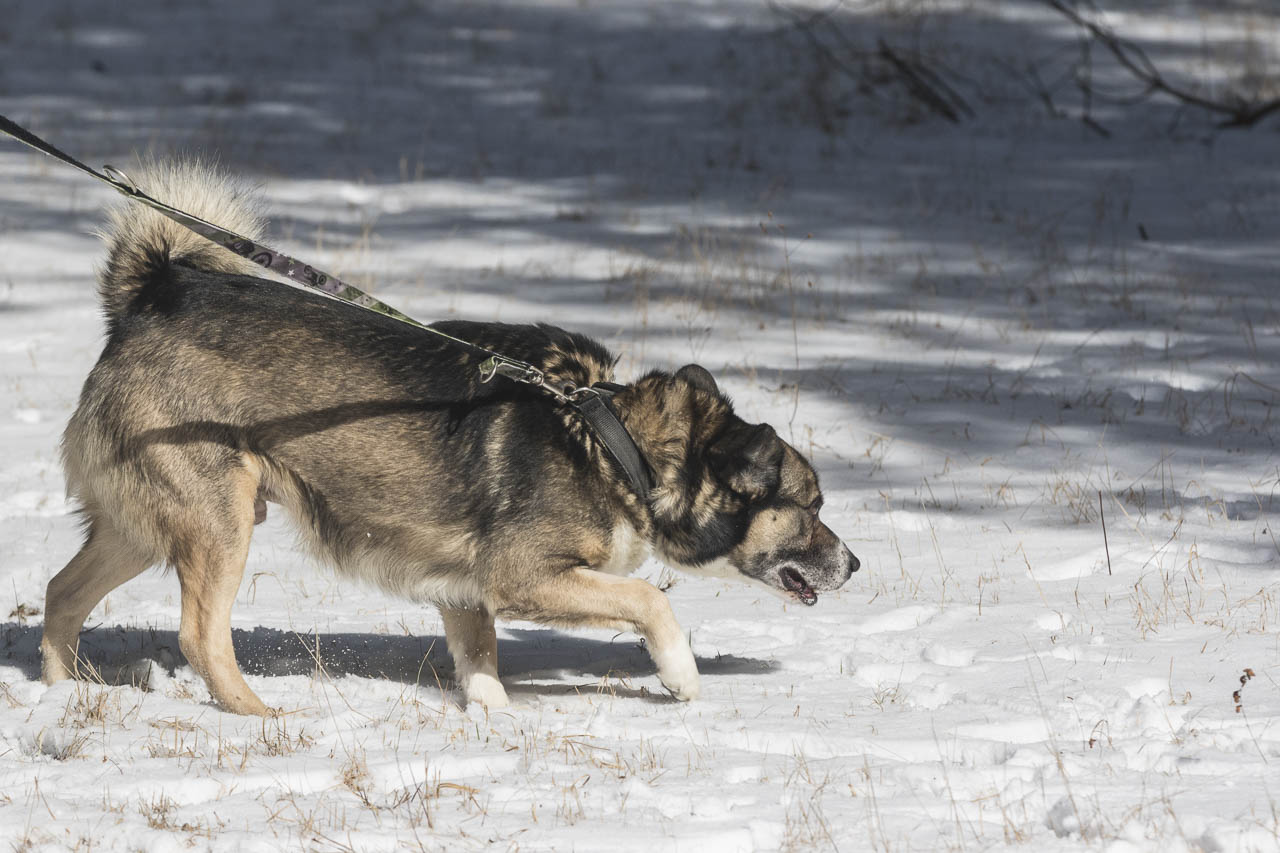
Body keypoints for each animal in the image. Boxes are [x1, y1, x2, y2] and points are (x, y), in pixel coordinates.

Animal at [39, 160, 859, 714]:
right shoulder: (522, 575)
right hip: (219, 521)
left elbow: (480, 657)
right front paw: (682, 674)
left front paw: (493, 718)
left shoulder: (464, 588)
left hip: (143, 527)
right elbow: (649, 602)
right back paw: (258, 715)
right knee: (198, 636)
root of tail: (149, 297)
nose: (854, 564)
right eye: (811, 506)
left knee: (60, 592)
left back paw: (59, 695)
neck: (612, 444)